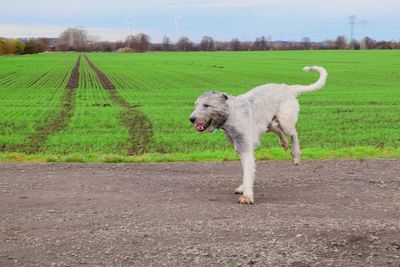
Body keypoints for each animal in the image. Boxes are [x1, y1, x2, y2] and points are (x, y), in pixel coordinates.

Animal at [191, 67, 328, 205]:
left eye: (206, 105)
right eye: (196, 104)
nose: (191, 119)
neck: (230, 114)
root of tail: (287, 88)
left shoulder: (245, 145)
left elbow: (248, 170)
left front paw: (247, 196)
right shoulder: (240, 144)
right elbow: (247, 168)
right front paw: (243, 188)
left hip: (285, 119)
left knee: (293, 132)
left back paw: (296, 154)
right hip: (266, 123)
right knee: (276, 128)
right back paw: (284, 142)